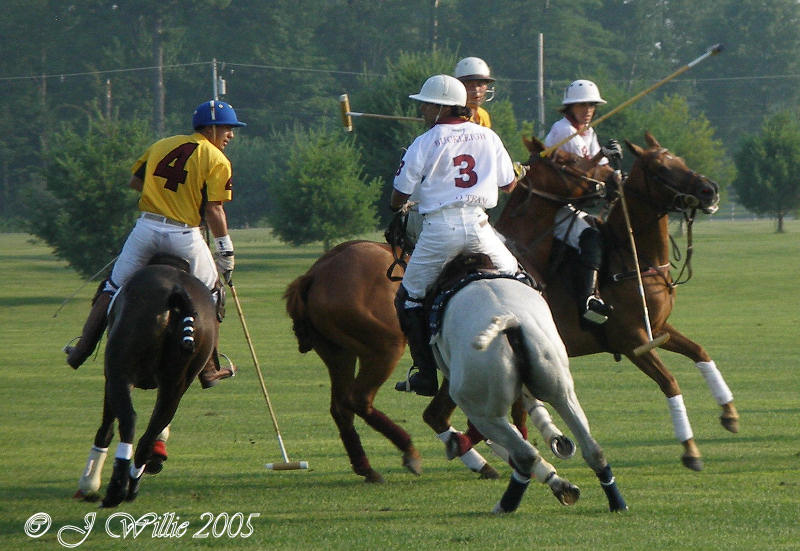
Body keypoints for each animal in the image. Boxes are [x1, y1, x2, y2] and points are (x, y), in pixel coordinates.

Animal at [74, 256, 217, 506]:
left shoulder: (111, 375)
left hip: (120, 372)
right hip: (177, 381)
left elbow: (106, 426)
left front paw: (89, 482)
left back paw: (115, 489)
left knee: (129, 420)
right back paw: (132, 483)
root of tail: (177, 291)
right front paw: (158, 456)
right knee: (151, 431)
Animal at [284, 139, 604, 484]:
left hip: (337, 352)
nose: (606, 182)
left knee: (341, 405)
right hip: (383, 348)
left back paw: (366, 466)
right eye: (567, 159)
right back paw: (411, 451)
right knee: (359, 399)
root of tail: (313, 274)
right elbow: (464, 416)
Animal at [432, 278, 624, 516]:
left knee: (523, 453)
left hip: (482, 410)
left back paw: (506, 503)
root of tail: (509, 320)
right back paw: (615, 501)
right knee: (592, 448)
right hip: (560, 386)